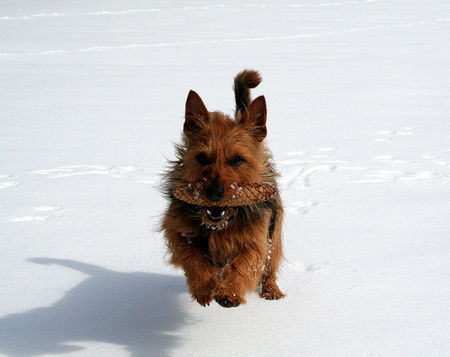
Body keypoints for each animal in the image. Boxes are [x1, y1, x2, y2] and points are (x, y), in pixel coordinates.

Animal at [160, 69, 284, 306]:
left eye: (237, 160)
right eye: (202, 158)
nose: (214, 193)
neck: (220, 225)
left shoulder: (257, 240)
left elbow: (245, 262)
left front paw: (230, 292)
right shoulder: (177, 230)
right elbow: (191, 256)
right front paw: (204, 287)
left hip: (275, 233)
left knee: (270, 267)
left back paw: (272, 291)